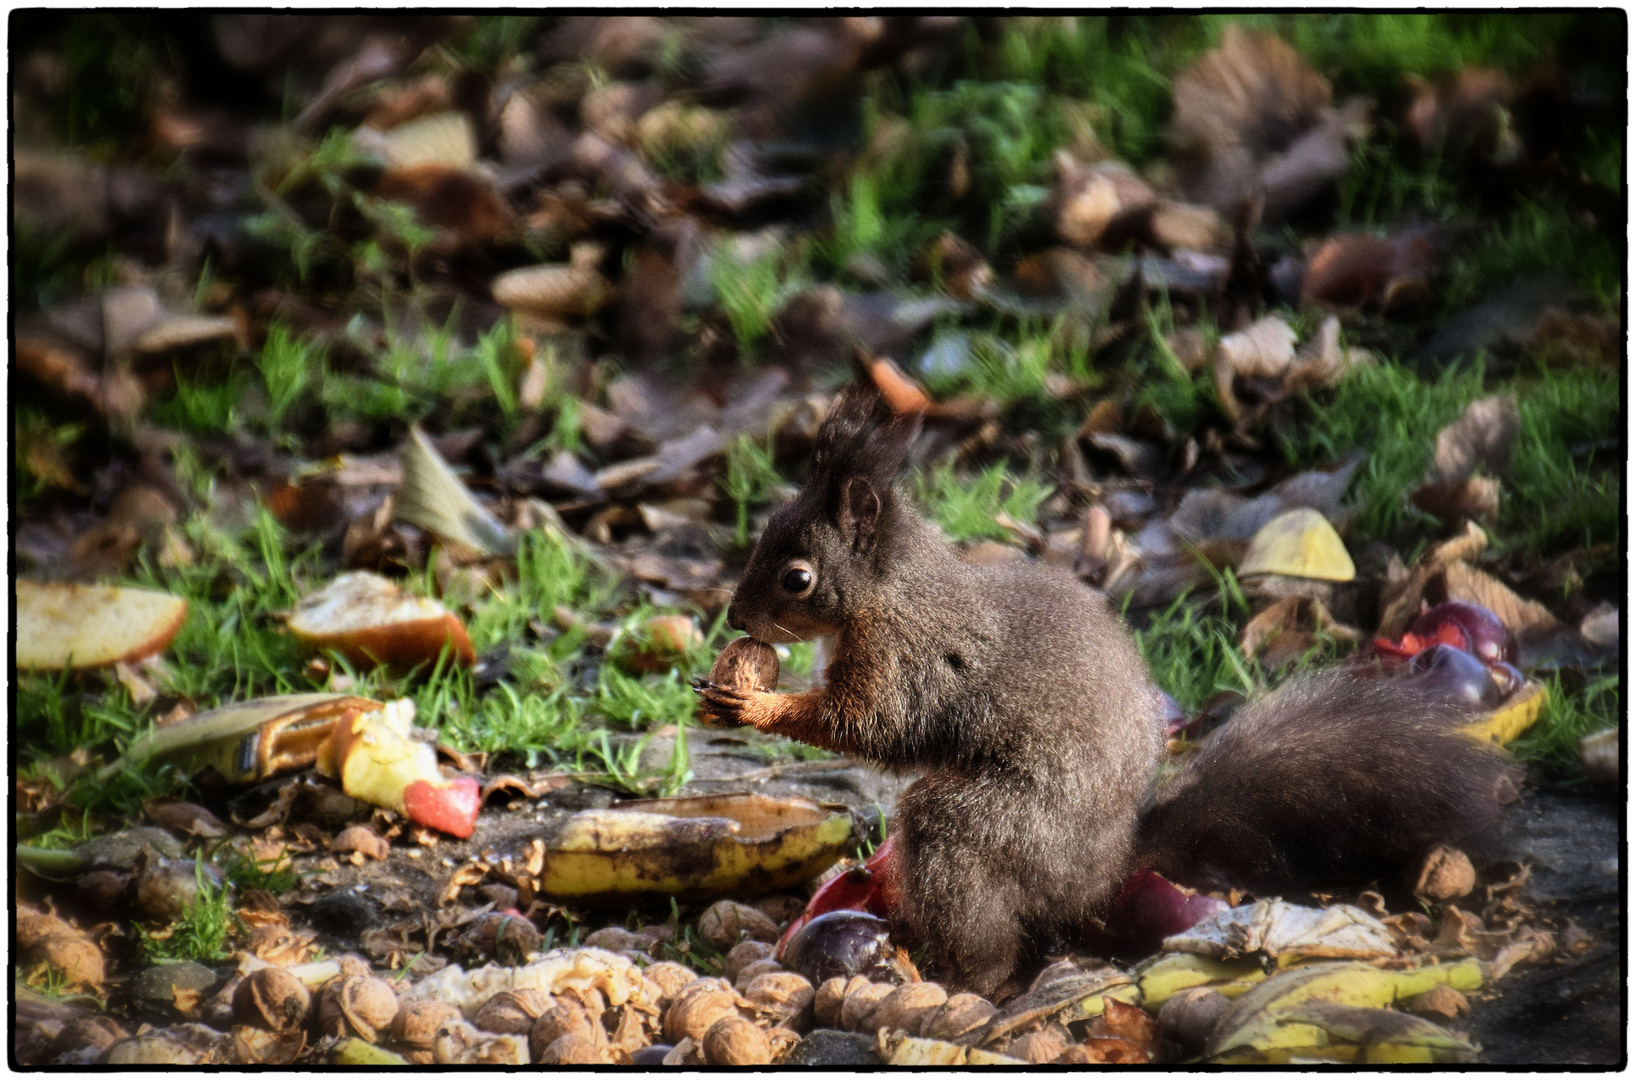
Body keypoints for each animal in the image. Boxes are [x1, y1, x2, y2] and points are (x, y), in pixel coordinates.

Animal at [693, 385, 1517, 993]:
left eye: (797, 576)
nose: (733, 616)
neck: (890, 592)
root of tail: (1106, 869)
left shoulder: (907, 658)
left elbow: (872, 726)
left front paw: (754, 702)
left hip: (996, 829)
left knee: (970, 885)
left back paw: (960, 974)